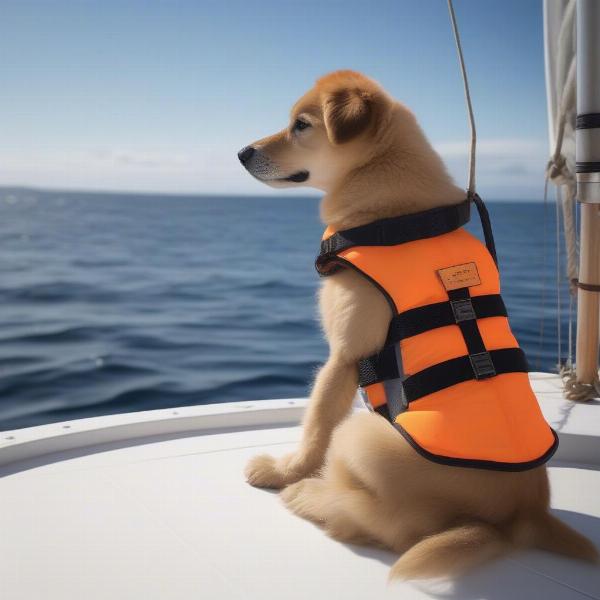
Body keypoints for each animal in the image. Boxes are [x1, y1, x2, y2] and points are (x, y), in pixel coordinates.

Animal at [236, 68, 596, 580]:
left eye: (301, 125)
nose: (242, 153)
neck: (393, 212)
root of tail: (522, 517)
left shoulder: (344, 355)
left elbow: (316, 425)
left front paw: (288, 471)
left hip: (364, 437)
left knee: (389, 527)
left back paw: (309, 494)